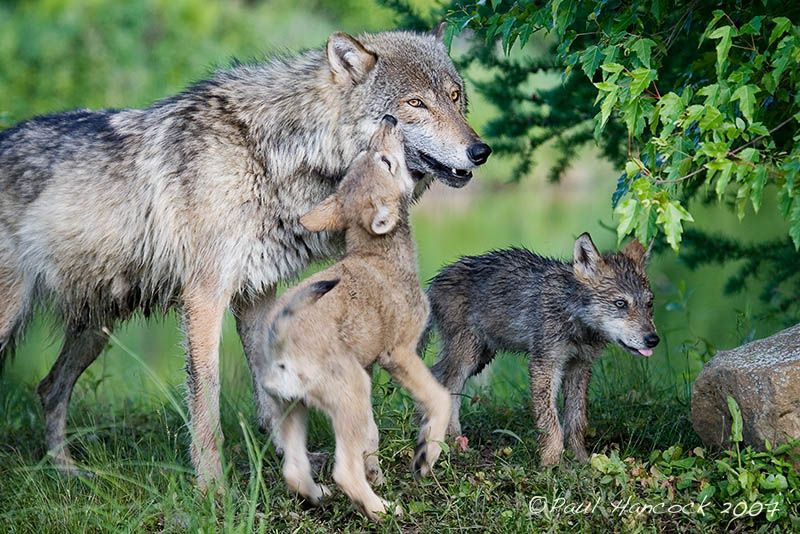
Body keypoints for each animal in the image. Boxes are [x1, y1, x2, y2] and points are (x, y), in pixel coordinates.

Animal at [0, 28, 490, 490]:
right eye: (414, 103)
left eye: (454, 96)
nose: (480, 151)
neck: (272, 154)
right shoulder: (204, 297)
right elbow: (206, 400)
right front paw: (212, 487)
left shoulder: (257, 295)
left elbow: (271, 390)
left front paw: (292, 460)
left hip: (94, 334)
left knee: (49, 388)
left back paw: (66, 472)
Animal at [428, 234, 660, 464]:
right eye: (620, 303)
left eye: (649, 304)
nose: (653, 339)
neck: (572, 315)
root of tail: (436, 278)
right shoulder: (545, 365)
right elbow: (550, 422)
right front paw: (551, 463)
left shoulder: (579, 366)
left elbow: (577, 420)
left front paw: (581, 460)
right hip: (468, 356)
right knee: (447, 385)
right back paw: (453, 443)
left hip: (481, 358)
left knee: (436, 374)